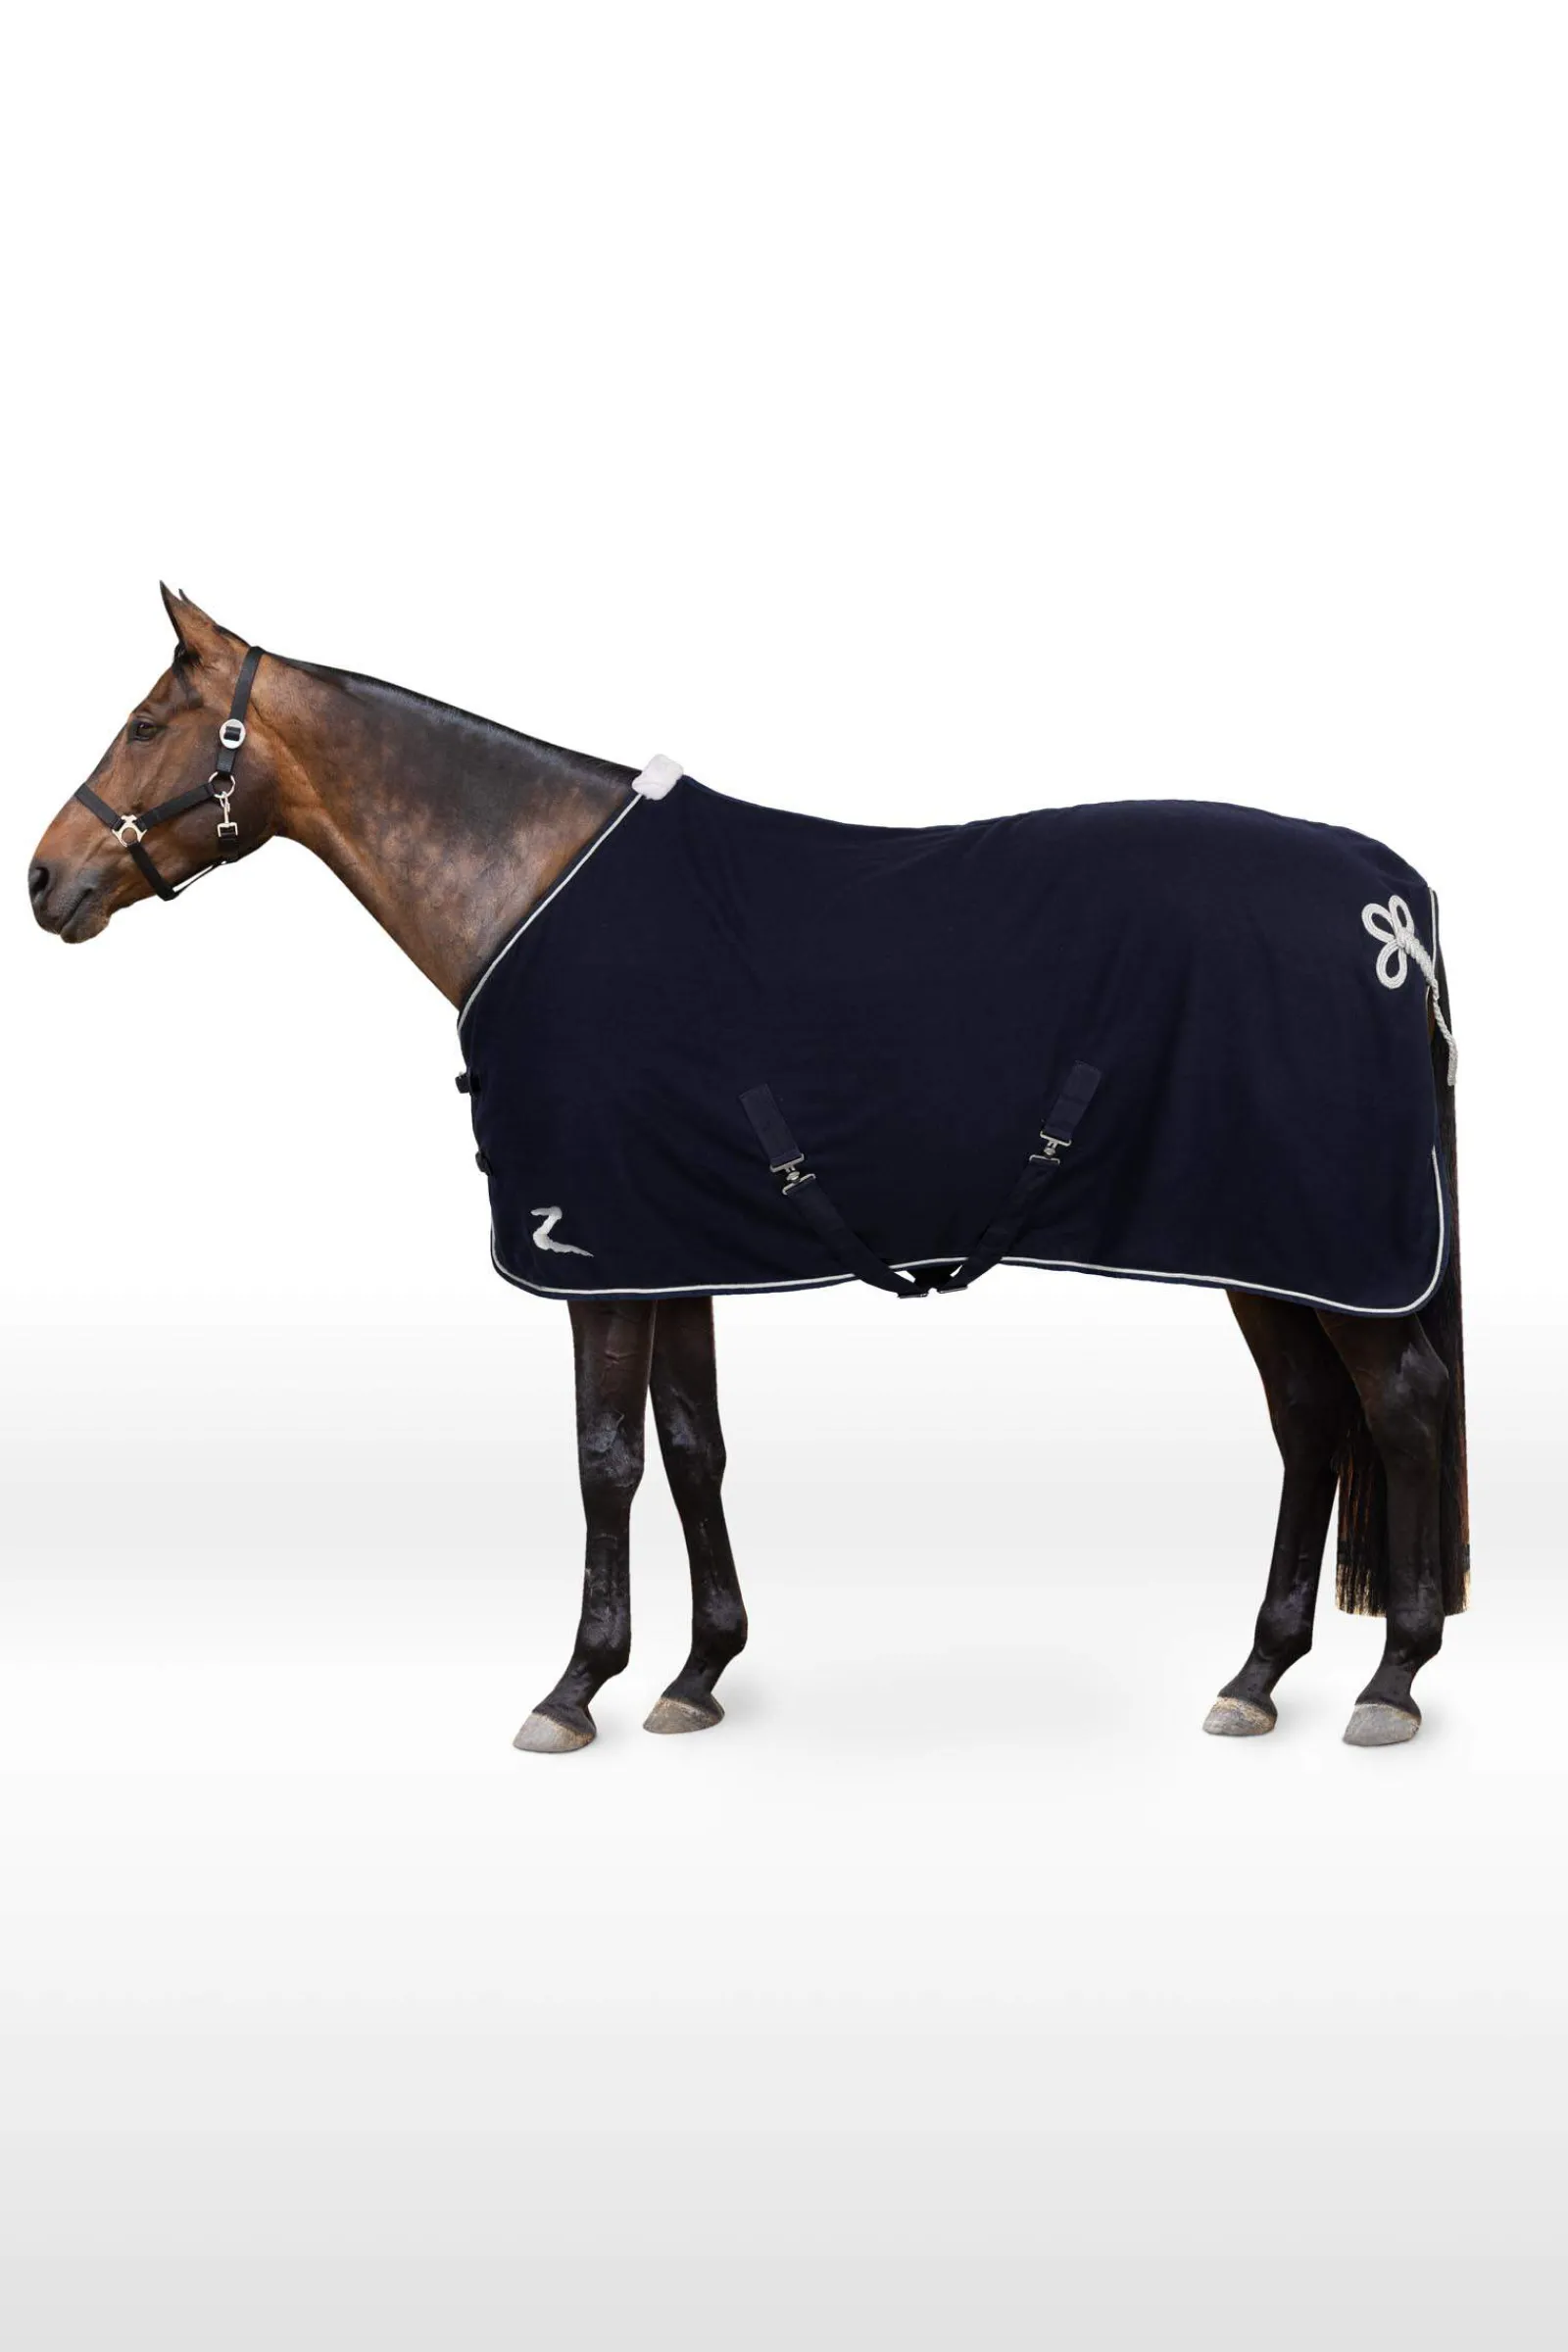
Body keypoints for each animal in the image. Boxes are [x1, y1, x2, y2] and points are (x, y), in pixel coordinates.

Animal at [29, 588, 1468, 1754]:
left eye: (147, 726)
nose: (46, 881)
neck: (532, 885)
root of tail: (1390, 901)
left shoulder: (596, 1254)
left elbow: (605, 1457)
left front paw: (576, 1689)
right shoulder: (675, 1243)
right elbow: (691, 1445)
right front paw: (698, 1673)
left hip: (1328, 1248)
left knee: (1397, 1408)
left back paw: (1392, 1679)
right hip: (1261, 1247)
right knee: (1312, 1421)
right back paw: (1260, 1675)